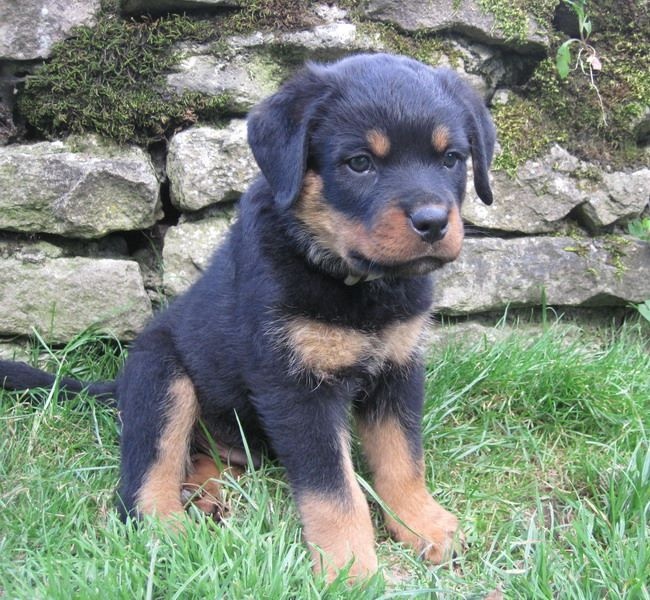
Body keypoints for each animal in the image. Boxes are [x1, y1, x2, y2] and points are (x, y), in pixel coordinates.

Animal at [0, 53, 495, 581]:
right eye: (359, 163)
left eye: (451, 158)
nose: (433, 221)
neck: (354, 281)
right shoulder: (296, 388)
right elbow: (335, 491)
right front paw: (350, 570)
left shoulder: (398, 368)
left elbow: (403, 457)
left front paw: (423, 524)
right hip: (162, 376)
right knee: (148, 474)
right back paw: (170, 530)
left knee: (207, 455)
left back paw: (205, 493)